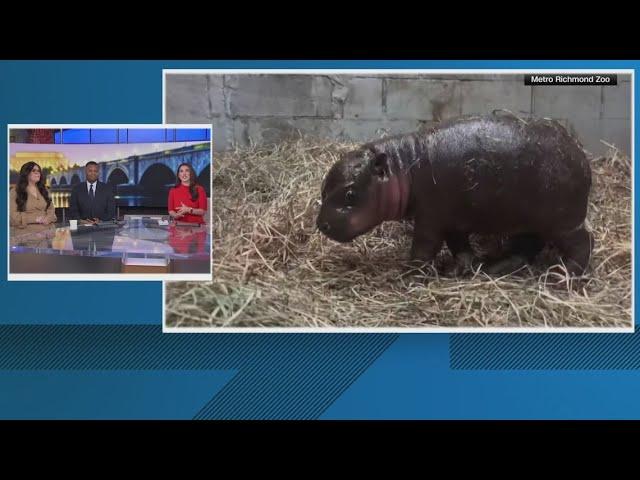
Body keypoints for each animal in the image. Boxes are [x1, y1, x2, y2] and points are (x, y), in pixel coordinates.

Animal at [318, 112, 592, 276]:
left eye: (350, 194)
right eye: (323, 188)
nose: (320, 224)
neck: (403, 167)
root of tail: (581, 156)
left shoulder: (430, 219)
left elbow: (424, 247)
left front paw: (409, 273)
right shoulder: (452, 220)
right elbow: (459, 247)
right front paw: (457, 270)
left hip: (562, 222)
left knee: (582, 242)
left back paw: (561, 275)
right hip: (529, 220)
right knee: (526, 247)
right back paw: (494, 267)